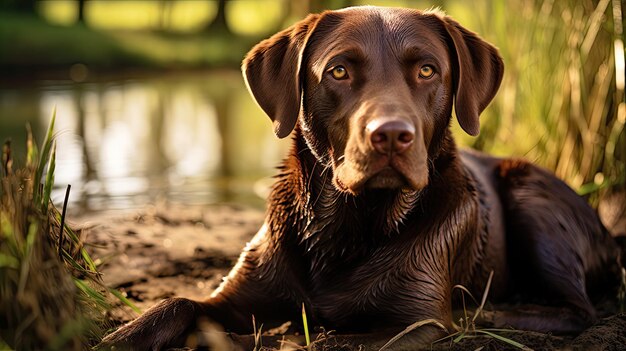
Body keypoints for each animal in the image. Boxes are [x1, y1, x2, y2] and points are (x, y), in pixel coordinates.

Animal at [100, 6, 620, 351]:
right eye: (339, 70)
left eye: (427, 69)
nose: (390, 135)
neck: (347, 225)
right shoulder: (236, 296)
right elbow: (176, 303)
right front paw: (120, 337)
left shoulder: (417, 321)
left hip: (533, 199)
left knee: (579, 309)